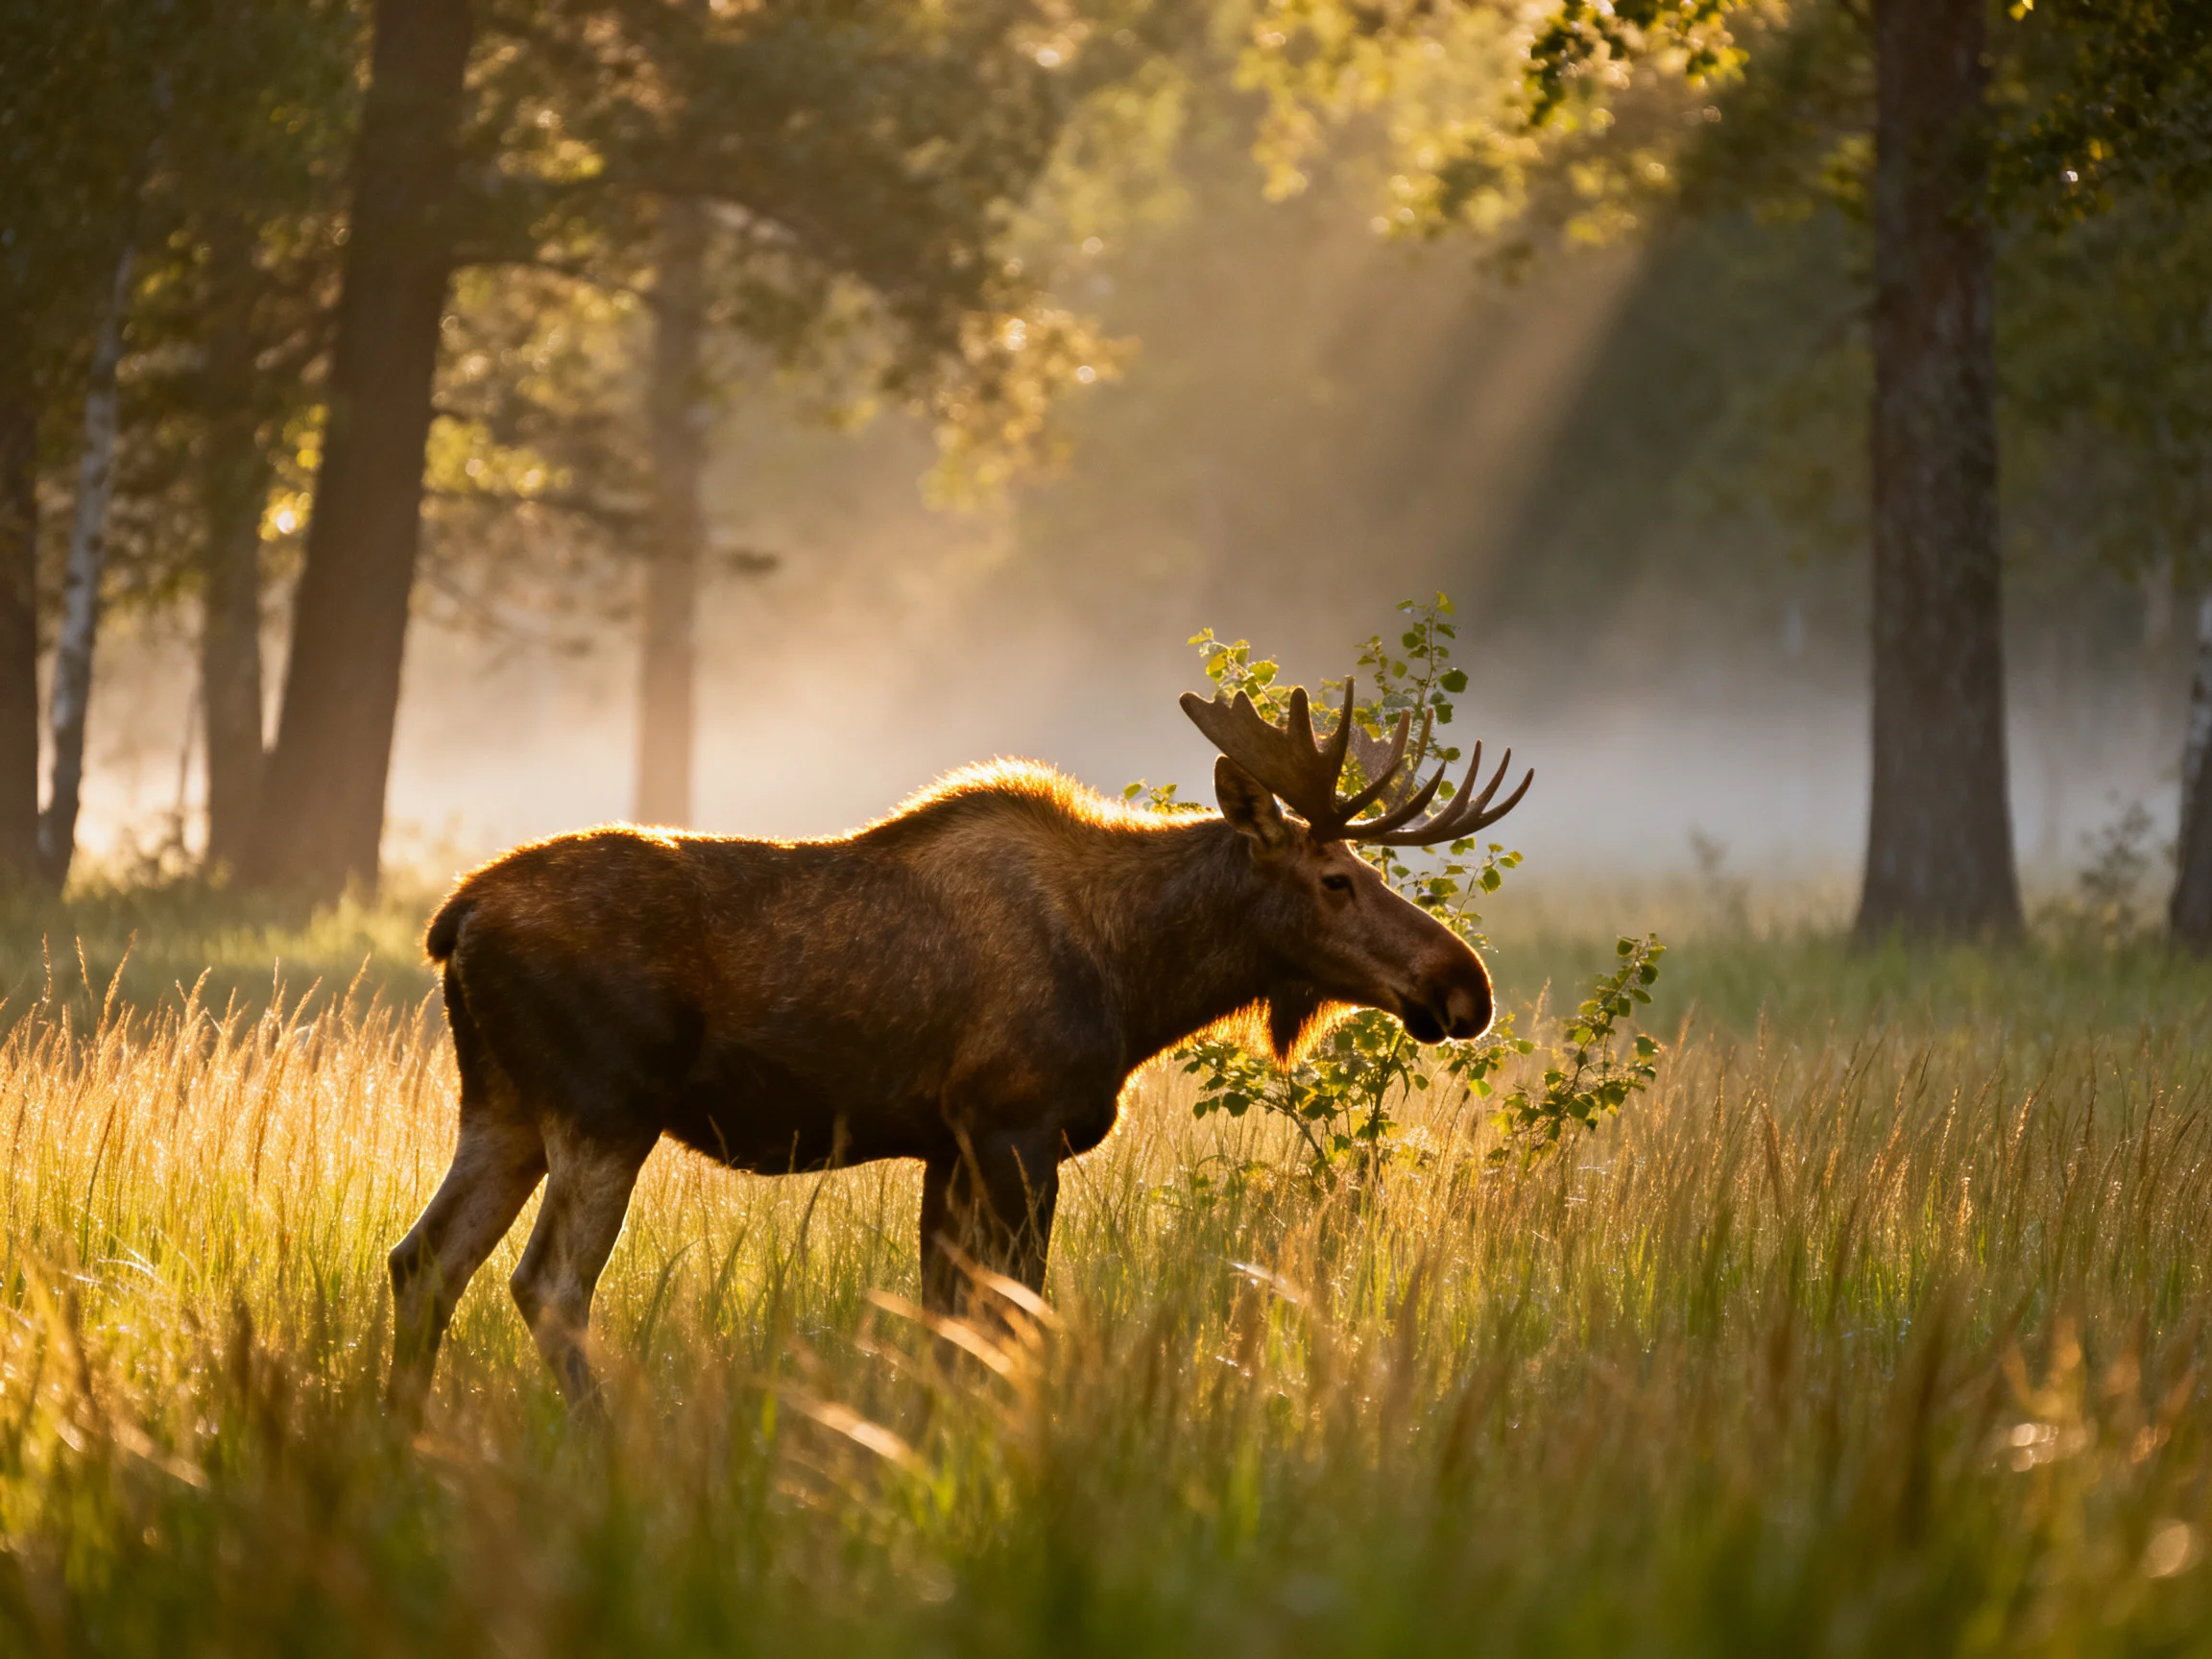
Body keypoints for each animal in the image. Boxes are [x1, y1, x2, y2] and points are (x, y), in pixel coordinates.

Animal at [386, 676, 1532, 1416]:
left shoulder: (946, 1146)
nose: (1462, 986)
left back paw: (401, 1438)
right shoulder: (1013, 1127)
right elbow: (1012, 1319)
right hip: (604, 1106)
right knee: (546, 1287)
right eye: (1336, 880)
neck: (1136, 977)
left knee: (422, 1261)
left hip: (502, 1108)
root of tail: (455, 920)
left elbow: (946, 1328)